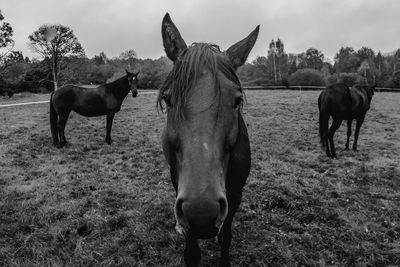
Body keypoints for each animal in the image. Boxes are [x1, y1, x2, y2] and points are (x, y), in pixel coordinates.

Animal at [158, 13, 258, 267]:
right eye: (168, 99)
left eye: (237, 100)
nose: (201, 212)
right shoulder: (179, 190)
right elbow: (192, 251)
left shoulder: (235, 195)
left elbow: (226, 236)